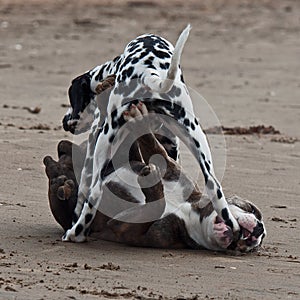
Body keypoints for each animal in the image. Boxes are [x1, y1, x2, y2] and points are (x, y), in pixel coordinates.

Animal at [44, 104, 264, 252]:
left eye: (245, 248)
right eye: (253, 210)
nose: (259, 231)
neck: (190, 211)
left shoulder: (126, 227)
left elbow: (156, 205)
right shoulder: (172, 170)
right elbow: (154, 146)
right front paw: (140, 118)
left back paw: (62, 183)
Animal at [62, 25, 240, 241]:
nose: (65, 121)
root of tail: (147, 72)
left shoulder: (94, 142)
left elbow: (83, 189)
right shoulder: (171, 145)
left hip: (104, 142)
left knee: (94, 193)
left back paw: (75, 233)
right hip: (197, 140)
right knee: (214, 187)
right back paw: (233, 226)